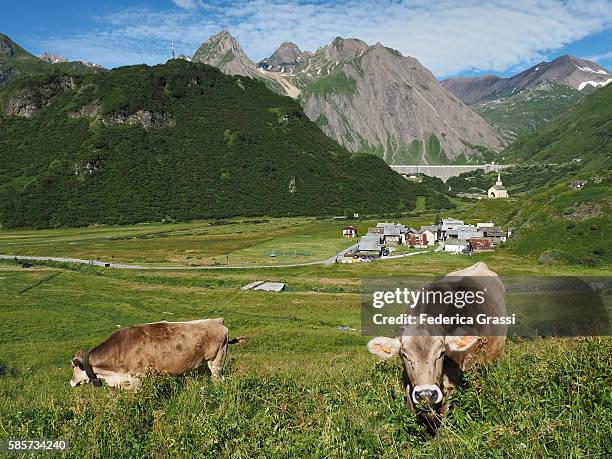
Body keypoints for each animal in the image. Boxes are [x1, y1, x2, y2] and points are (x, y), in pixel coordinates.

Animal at [69, 320, 231, 392]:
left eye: (73, 366)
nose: (71, 382)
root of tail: (217, 321)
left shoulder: (137, 378)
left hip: (216, 361)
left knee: (219, 380)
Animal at [368, 264, 506, 422]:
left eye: (441, 353)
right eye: (404, 355)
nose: (426, 394)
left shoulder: (453, 379)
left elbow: (443, 411)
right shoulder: (408, 381)